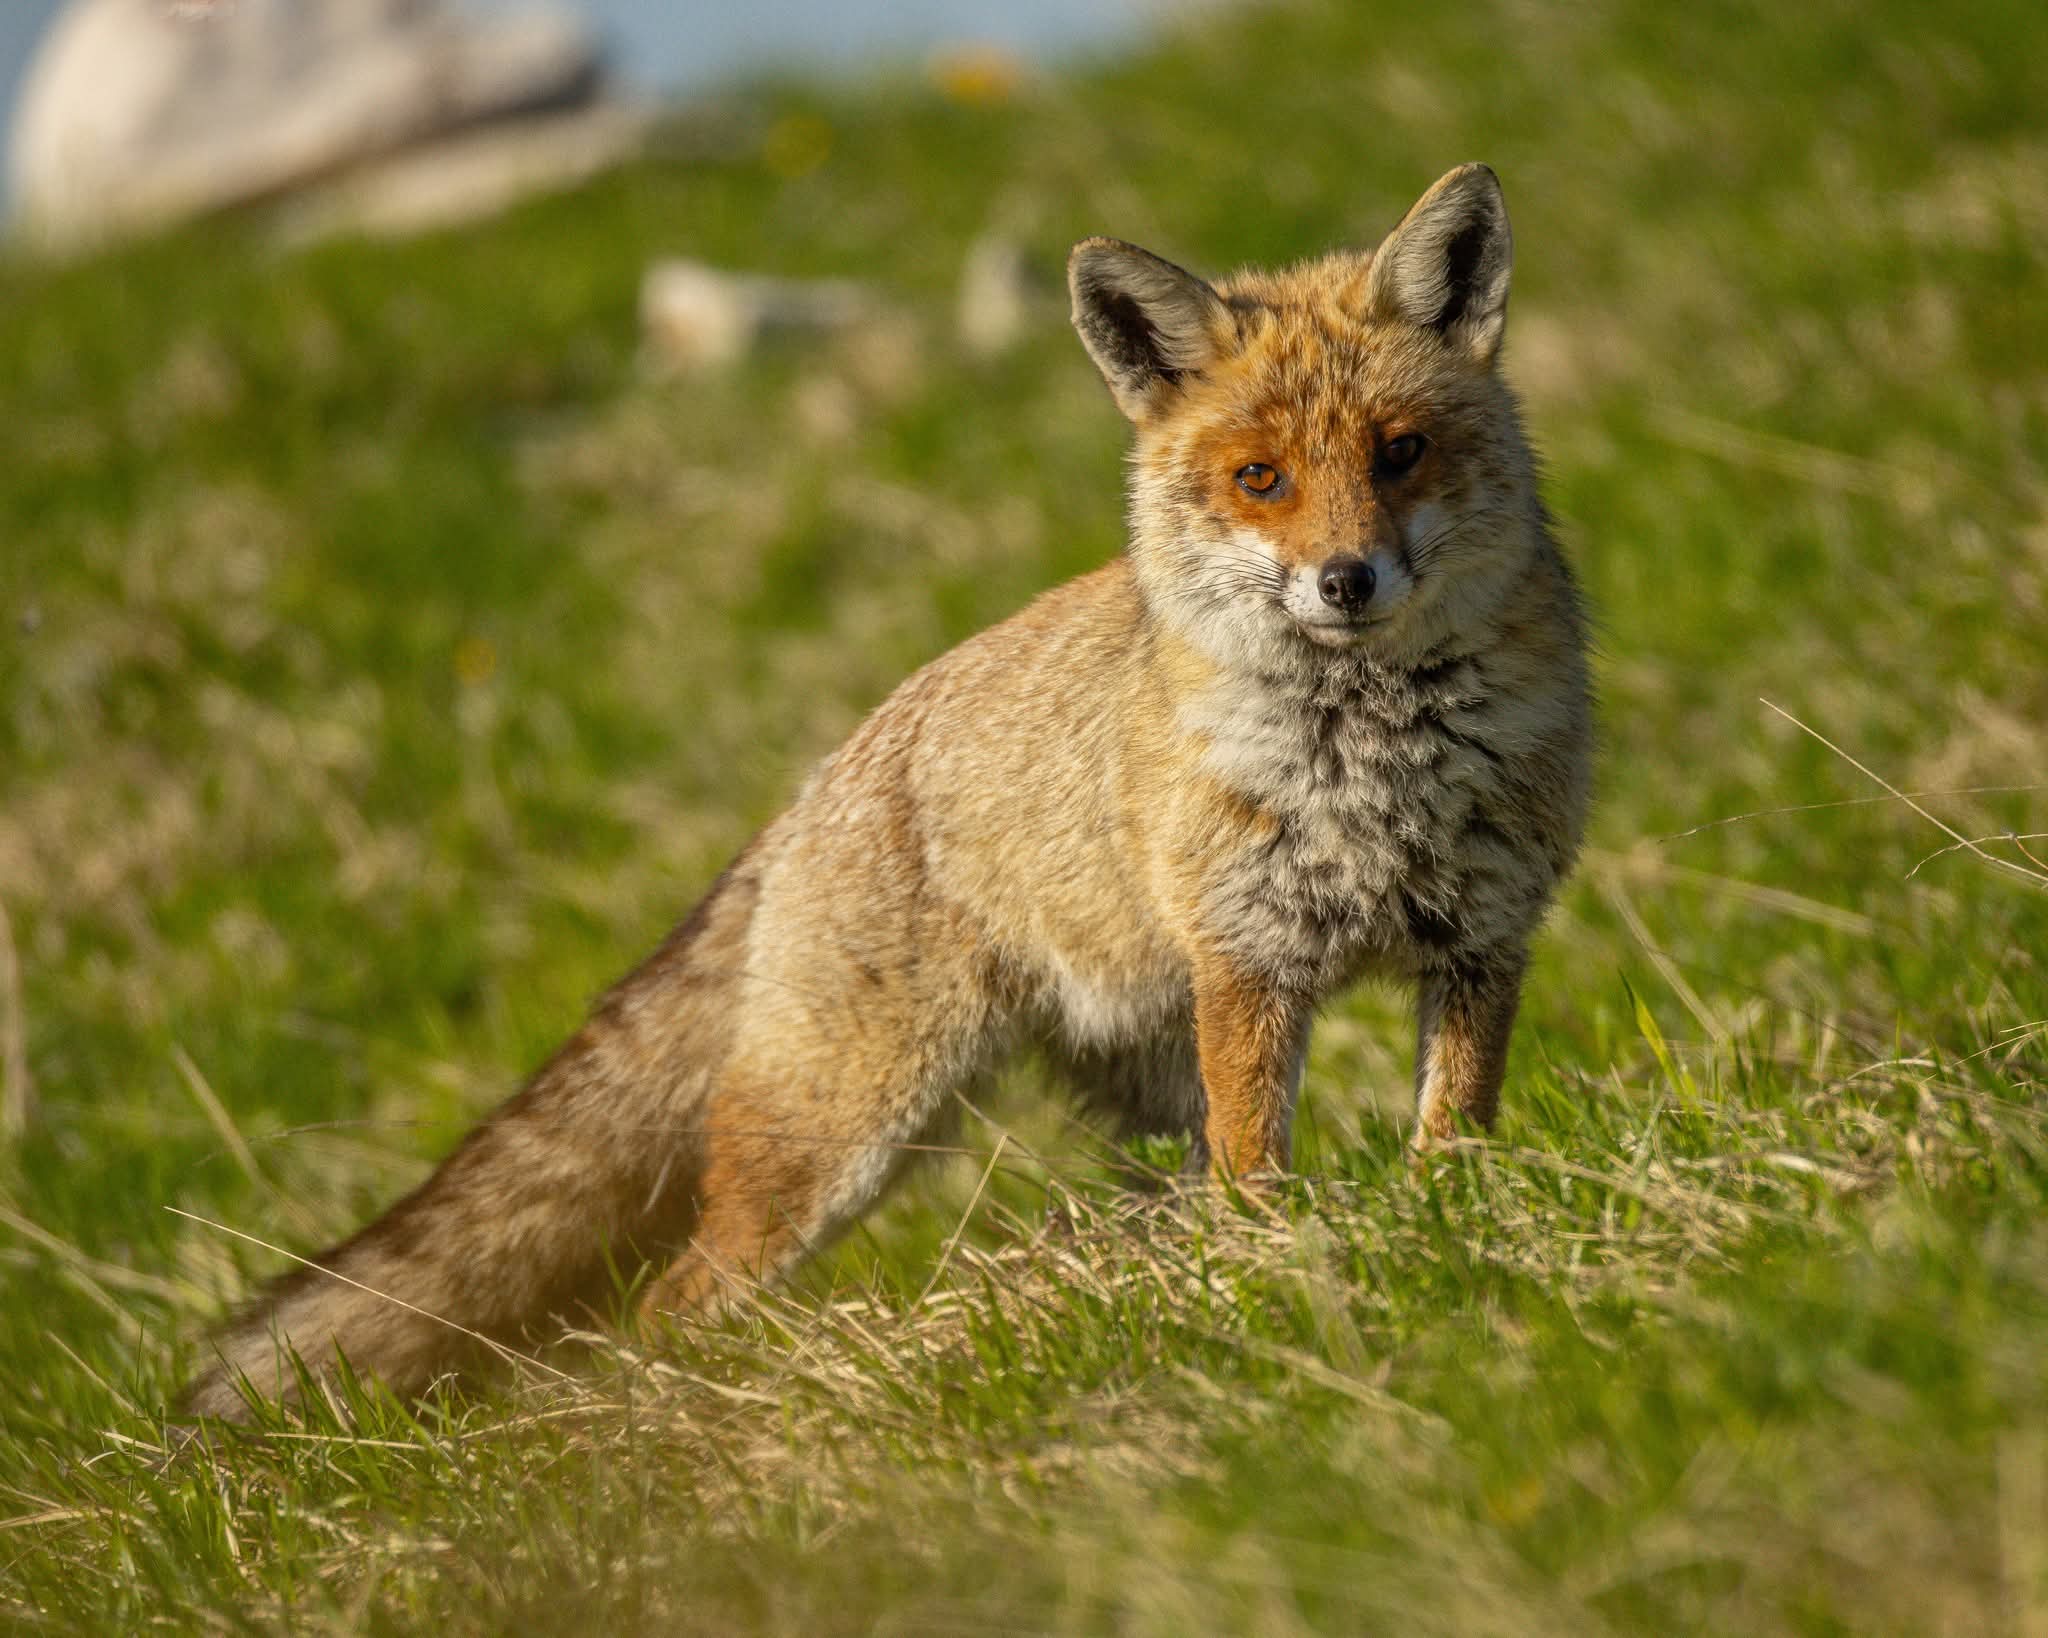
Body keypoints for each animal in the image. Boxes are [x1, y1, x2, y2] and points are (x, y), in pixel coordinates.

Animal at [184, 164, 1592, 1418]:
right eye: (1261, 479)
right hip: (842, 1134)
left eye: (1399, 453)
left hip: (1127, 1091)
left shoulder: (1480, 936)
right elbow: (1259, 1177)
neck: (1372, 765)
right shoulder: (1250, 964)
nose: (1344, 580)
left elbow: (1452, 1133)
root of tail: (814, 786)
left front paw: (1448, 1230)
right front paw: (1275, 1276)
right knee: (673, 1300)